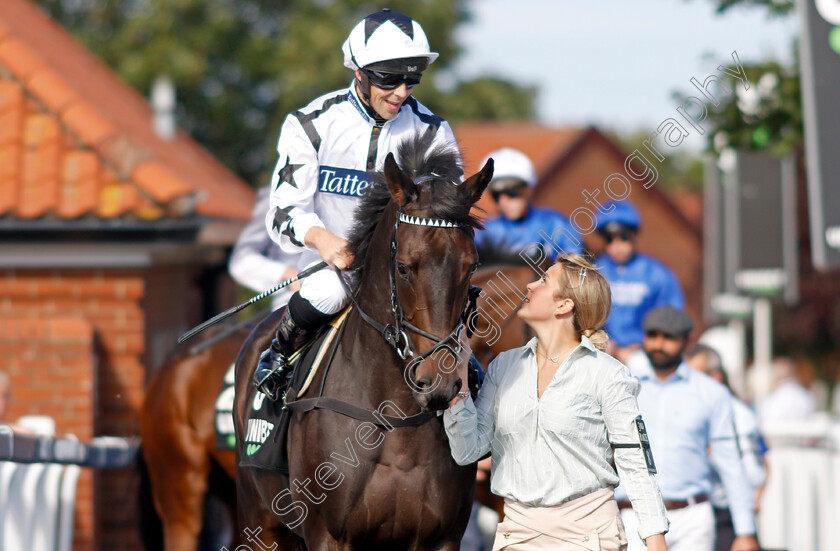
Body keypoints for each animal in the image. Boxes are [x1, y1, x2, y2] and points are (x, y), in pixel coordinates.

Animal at [231, 139, 492, 551]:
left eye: (471, 266)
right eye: (403, 267)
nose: (439, 383)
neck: (396, 421)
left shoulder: (441, 538)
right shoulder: (328, 535)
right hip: (259, 521)